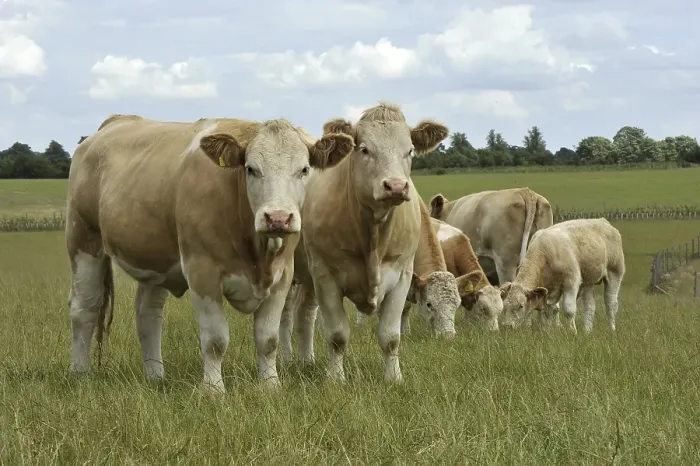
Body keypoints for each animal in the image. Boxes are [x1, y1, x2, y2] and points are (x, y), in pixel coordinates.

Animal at [64, 113, 354, 393]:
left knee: (148, 314)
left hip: (155, 259)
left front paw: (270, 385)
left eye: (304, 169)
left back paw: (155, 376)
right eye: (251, 169)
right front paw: (214, 389)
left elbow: (268, 339)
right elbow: (215, 340)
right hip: (84, 240)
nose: (278, 218)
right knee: (85, 308)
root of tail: (115, 121)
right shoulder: (202, 272)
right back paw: (79, 372)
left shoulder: (282, 277)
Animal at [282, 101, 449, 382]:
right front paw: (335, 378)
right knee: (285, 317)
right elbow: (337, 335)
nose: (396, 186)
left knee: (304, 314)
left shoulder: (402, 276)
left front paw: (393, 377)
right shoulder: (326, 276)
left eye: (410, 150)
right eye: (364, 149)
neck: (374, 235)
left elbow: (391, 337)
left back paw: (306, 360)